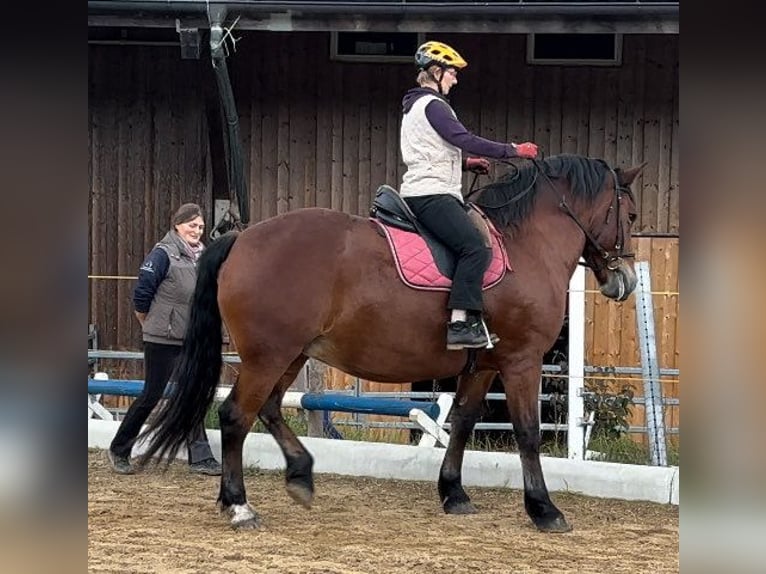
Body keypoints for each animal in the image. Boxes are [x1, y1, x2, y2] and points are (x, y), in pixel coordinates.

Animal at [138, 155, 640, 532]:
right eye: (630, 216)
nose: (626, 281)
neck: (525, 244)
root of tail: (241, 238)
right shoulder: (522, 360)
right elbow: (528, 433)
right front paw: (544, 509)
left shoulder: (483, 364)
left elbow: (462, 421)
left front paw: (453, 493)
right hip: (269, 355)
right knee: (235, 415)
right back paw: (240, 505)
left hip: (291, 353)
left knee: (270, 409)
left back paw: (299, 475)